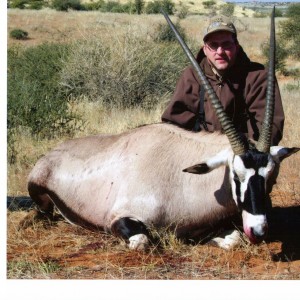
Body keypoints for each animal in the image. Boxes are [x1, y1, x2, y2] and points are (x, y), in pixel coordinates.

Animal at [24, 9, 300, 250]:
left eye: (270, 176)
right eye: (236, 176)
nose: (258, 230)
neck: (183, 180)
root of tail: (51, 154)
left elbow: (232, 240)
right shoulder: (120, 218)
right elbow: (142, 240)